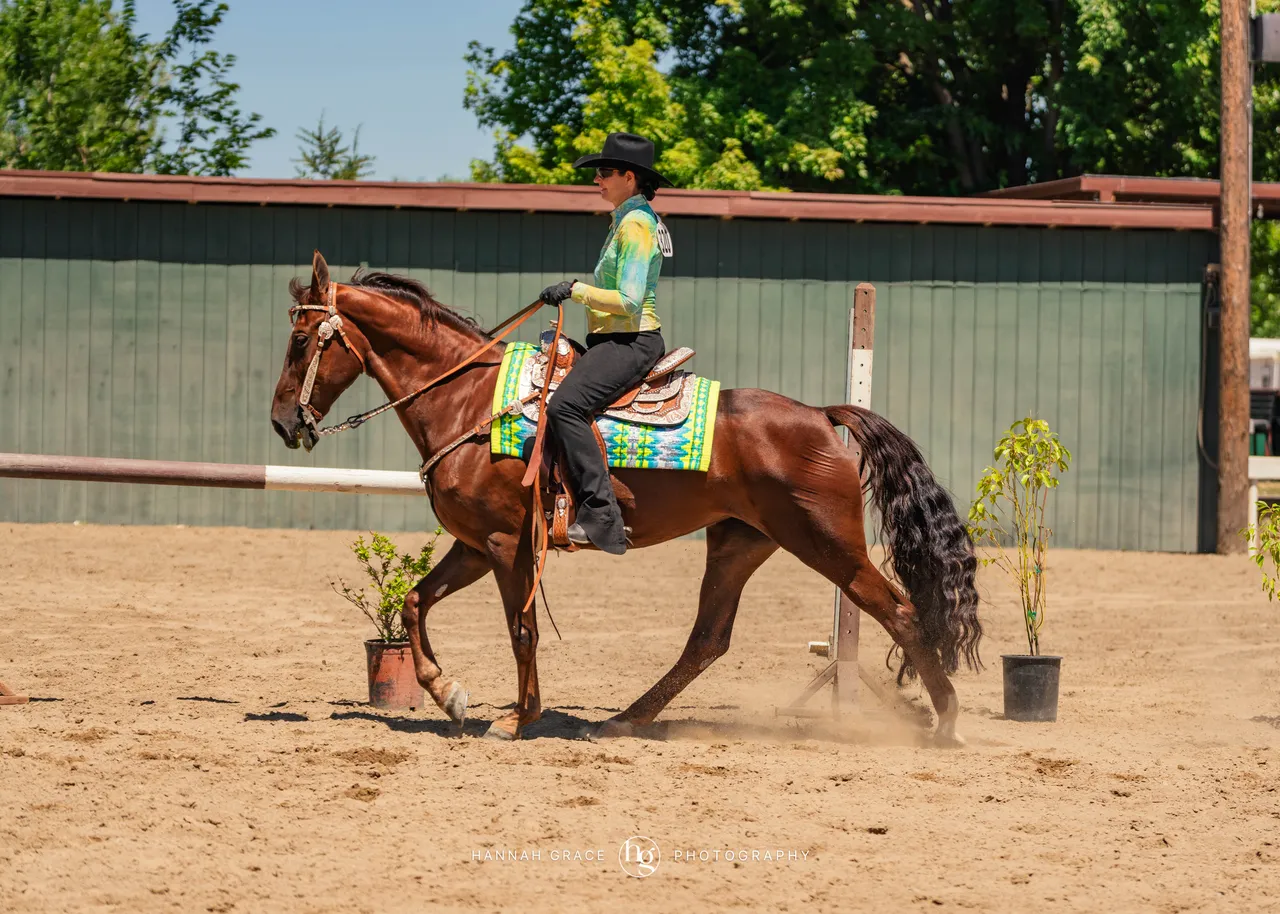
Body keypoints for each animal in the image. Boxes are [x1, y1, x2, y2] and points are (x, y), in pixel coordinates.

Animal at [269, 252, 982, 743]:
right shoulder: (475, 543)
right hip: (740, 543)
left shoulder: (504, 543)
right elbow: (416, 602)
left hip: (827, 543)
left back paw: (946, 722)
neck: (467, 400)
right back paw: (624, 719)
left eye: (301, 341)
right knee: (707, 640)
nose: (282, 423)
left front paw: (519, 718)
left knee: (900, 611)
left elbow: (521, 629)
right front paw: (449, 695)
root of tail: (819, 414)